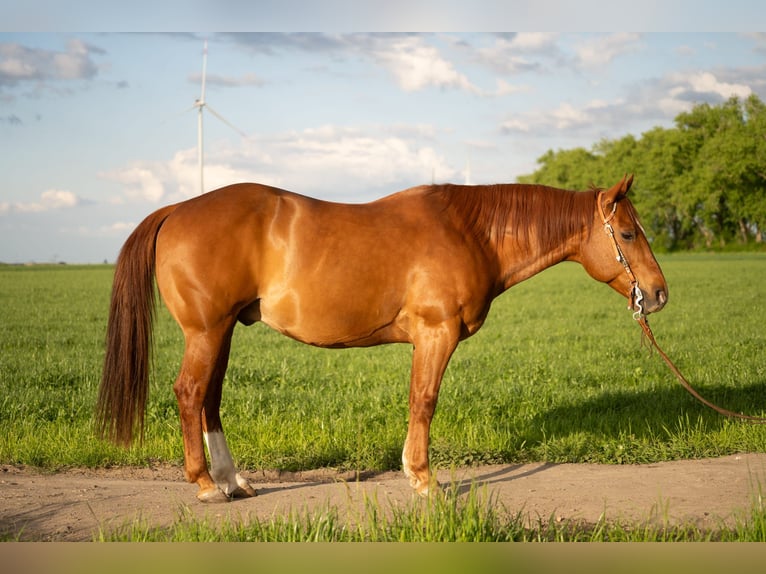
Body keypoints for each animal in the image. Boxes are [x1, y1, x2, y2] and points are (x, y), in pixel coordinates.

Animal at [97, 174, 668, 502]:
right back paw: (206, 485)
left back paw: (233, 480)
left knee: (209, 399)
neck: (470, 232)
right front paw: (422, 478)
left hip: (222, 332)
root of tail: (176, 210)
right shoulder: (436, 334)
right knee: (190, 393)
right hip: (207, 332)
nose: (659, 294)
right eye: (629, 233)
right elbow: (424, 401)